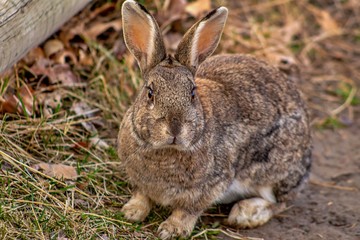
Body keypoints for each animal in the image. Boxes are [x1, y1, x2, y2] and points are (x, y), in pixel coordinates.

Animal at [118, 0, 312, 239]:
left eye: (192, 93)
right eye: (150, 93)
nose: (175, 129)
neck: (167, 150)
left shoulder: (211, 185)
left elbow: (188, 210)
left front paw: (172, 230)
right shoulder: (140, 180)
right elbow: (142, 195)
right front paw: (132, 212)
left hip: (273, 172)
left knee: (280, 203)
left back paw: (245, 213)